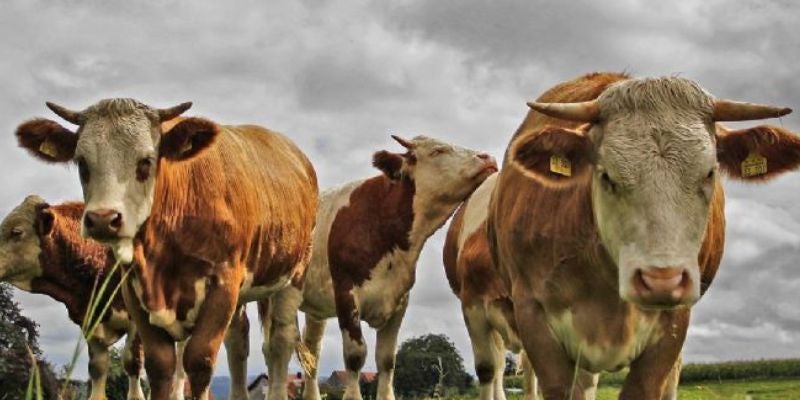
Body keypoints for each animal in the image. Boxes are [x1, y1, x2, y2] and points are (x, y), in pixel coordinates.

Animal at [15, 99, 319, 400]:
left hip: (294, 273)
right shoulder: (135, 291)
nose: (102, 219)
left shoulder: (224, 283)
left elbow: (198, 361)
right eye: (82, 163)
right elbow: (160, 365)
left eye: (146, 162)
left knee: (280, 342)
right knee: (238, 339)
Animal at [278, 135, 497, 400]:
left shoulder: (399, 300)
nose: (488, 157)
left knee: (312, 351)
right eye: (437, 151)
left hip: (315, 307)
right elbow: (355, 356)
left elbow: (386, 360)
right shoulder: (346, 294)